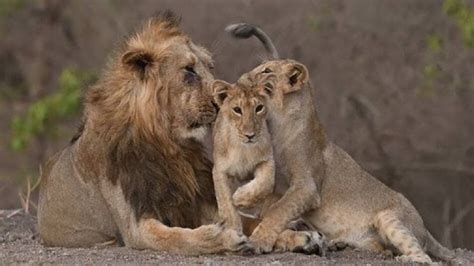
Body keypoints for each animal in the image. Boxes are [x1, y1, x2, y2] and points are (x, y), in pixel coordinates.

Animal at [36, 12, 248, 256]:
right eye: (189, 70)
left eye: (210, 67)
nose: (226, 100)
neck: (169, 143)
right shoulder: (135, 226)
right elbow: (177, 237)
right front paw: (224, 237)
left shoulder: (196, 197)